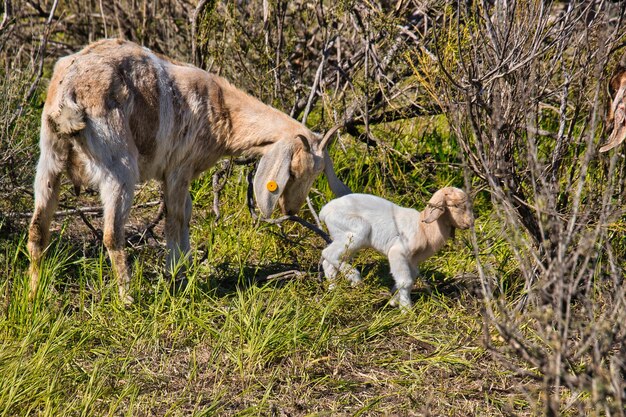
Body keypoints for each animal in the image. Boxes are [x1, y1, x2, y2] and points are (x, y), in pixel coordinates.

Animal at [28, 39, 352, 302]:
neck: (222, 109)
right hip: (118, 167)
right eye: (296, 171)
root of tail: (69, 95)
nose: (292, 209)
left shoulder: (182, 174)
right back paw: (128, 298)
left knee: (37, 228)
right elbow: (176, 218)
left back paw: (36, 293)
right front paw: (175, 276)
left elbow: (185, 214)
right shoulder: (178, 168)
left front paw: (185, 269)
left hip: (49, 160)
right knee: (111, 234)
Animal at [320, 187, 470, 308]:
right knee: (328, 253)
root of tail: (325, 211)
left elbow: (408, 279)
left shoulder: (412, 261)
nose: (468, 224)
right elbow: (405, 282)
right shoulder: (397, 252)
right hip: (356, 231)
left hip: (345, 238)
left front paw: (393, 300)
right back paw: (354, 278)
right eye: (456, 205)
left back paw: (333, 290)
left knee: (329, 262)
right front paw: (406, 310)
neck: (424, 228)